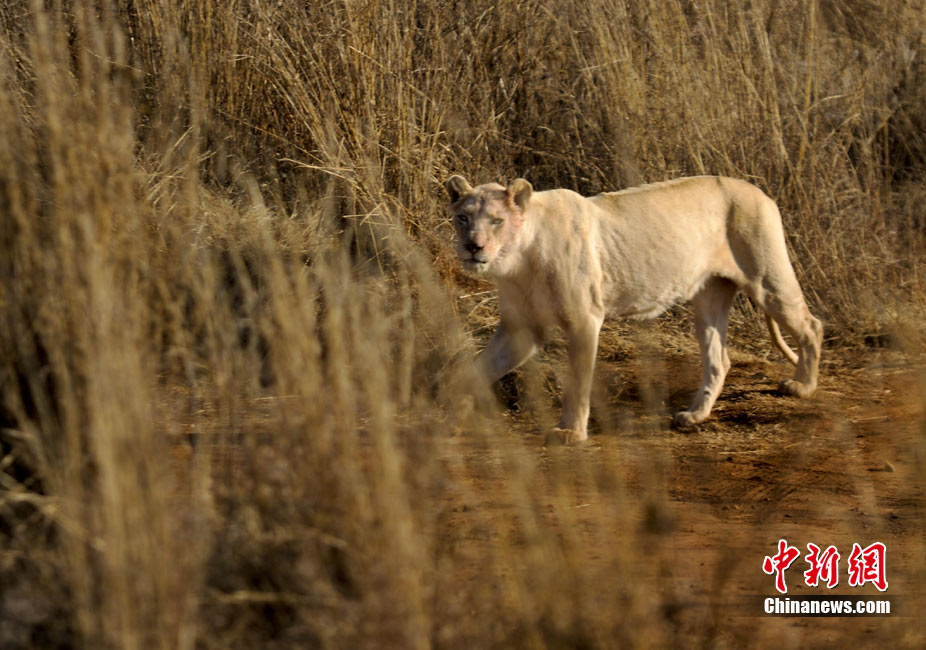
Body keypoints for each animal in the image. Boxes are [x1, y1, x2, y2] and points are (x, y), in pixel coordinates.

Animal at [446, 174, 823, 443]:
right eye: (463, 218)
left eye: (496, 220)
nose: (472, 247)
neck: (517, 261)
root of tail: (759, 191)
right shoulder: (521, 329)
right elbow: (475, 371)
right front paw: (456, 412)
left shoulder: (585, 320)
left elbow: (577, 382)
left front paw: (570, 432)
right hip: (710, 295)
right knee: (720, 358)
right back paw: (694, 416)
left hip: (767, 278)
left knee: (812, 326)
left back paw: (803, 386)